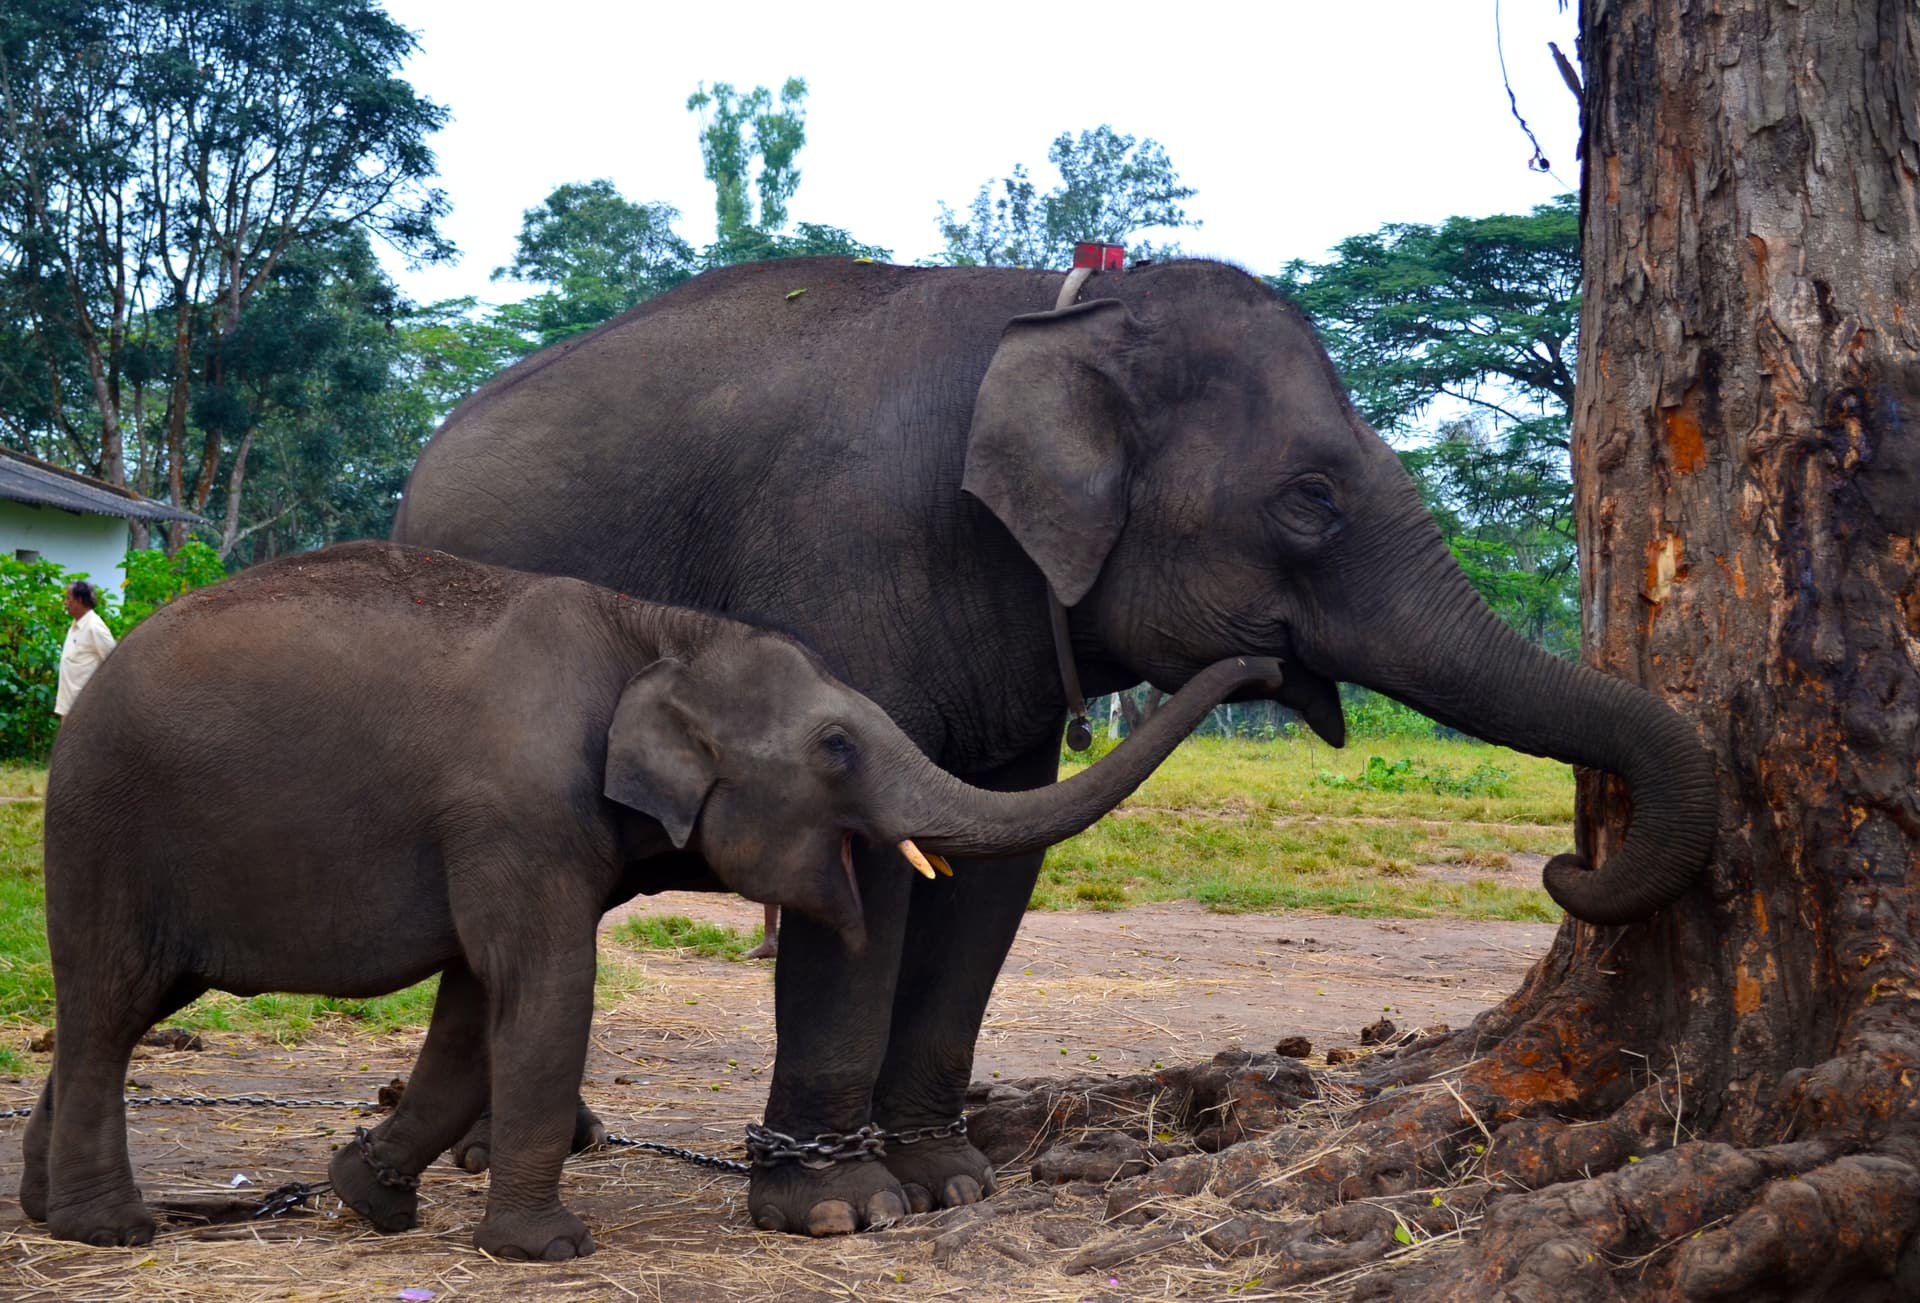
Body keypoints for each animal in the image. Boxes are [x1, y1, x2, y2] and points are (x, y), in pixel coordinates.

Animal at [22, 539, 1282, 1258]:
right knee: (109, 1007)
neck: (658, 630)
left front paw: (367, 1197)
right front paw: (547, 1249)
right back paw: (109, 1229)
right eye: (836, 747)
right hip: (105, 828)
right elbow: (543, 987)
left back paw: (42, 1208)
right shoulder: (517, 806)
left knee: (106, 1013)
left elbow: (474, 1009)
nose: (1266, 657)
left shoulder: (502, 829)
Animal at [392, 257, 1720, 1236]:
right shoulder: (842, 565)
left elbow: (994, 866)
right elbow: (863, 858)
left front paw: (948, 1182)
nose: (1572, 861)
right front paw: (843, 1211)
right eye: (1310, 501)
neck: (1056, 309)